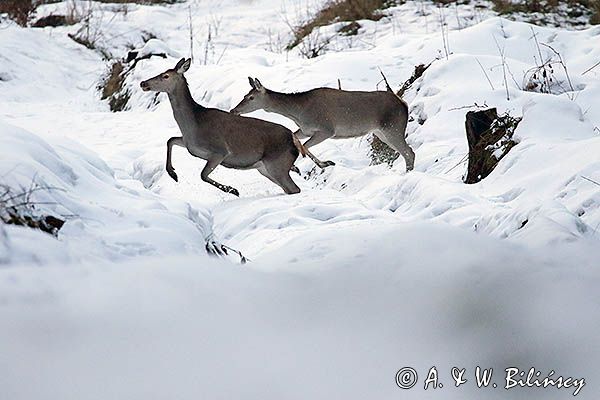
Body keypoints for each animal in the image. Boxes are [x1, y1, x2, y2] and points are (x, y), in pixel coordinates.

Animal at [139, 58, 310, 196]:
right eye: (162, 72)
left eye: (165, 76)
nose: (143, 83)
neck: (193, 126)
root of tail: (295, 141)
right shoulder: (189, 145)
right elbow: (171, 140)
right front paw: (172, 173)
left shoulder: (220, 151)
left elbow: (203, 175)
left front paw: (233, 190)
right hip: (265, 168)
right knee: (290, 188)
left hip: (277, 164)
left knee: (294, 189)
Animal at [232, 77, 414, 172]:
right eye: (245, 95)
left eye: (251, 97)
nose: (234, 110)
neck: (298, 113)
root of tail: (404, 104)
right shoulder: (305, 130)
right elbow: (295, 137)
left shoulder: (327, 130)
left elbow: (304, 146)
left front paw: (324, 164)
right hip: (382, 132)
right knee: (404, 152)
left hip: (393, 127)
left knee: (409, 152)